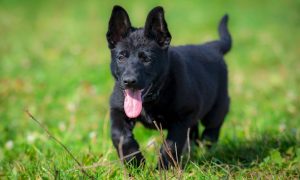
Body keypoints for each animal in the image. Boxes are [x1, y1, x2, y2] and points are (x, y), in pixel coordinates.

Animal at [106, 5, 232, 168]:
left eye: (147, 59)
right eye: (121, 57)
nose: (129, 81)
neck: (151, 100)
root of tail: (212, 47)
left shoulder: (182, 118)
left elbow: (171, 145)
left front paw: (164, 169)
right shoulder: (118, 109)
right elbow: (119, 135)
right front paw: (135, 162)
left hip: (217, 105)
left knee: (214, 124)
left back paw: (207, 145)